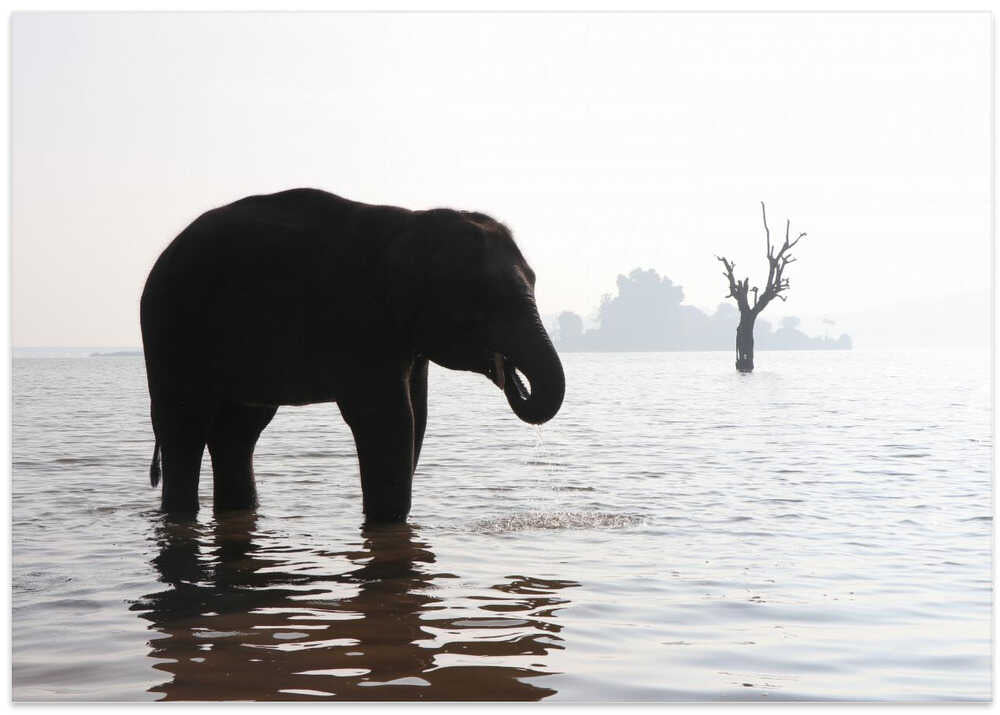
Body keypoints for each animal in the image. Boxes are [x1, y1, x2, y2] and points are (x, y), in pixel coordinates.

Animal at [140, 188, 565, 522]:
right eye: (484, 298)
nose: (509, 374)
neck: (413, 223)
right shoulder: (360, 322)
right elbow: (389, 419)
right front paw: (386, 522)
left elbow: (418, 416)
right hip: (171, 329)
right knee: (185, 426)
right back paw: (180, 513)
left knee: (239, 431)